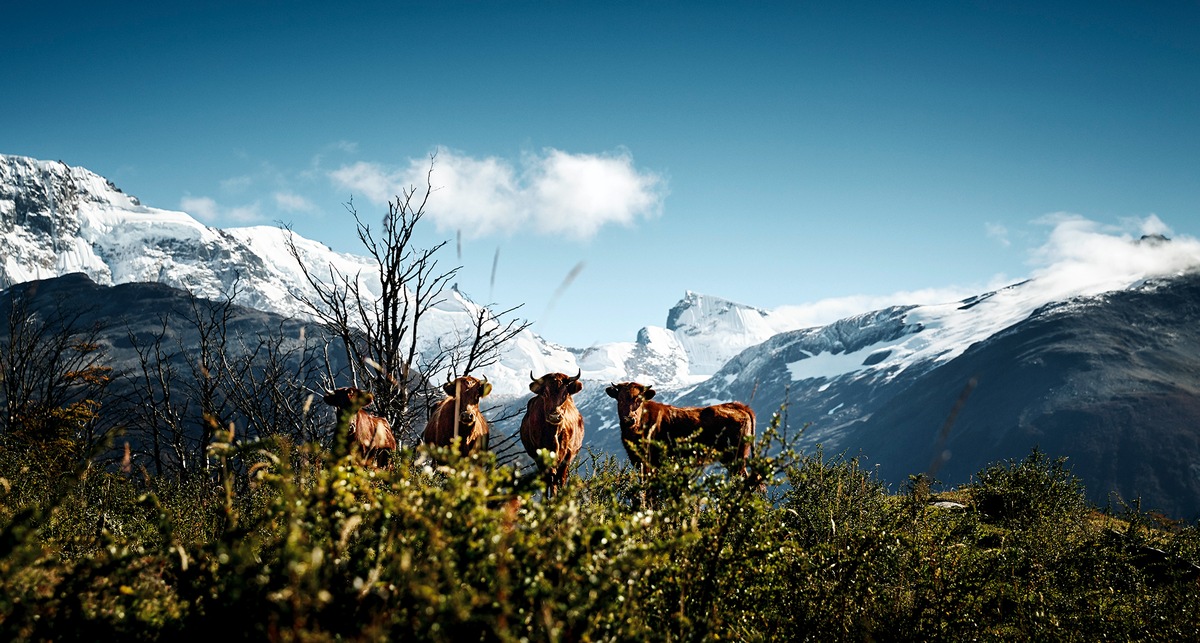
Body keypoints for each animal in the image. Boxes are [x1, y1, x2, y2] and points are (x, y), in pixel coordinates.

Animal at [604, 381, 753, 477]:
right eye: (620, 399)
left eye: (639, 400)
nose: (629, 419)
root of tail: (739, 406)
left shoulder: (652, 463)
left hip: (736, 457)